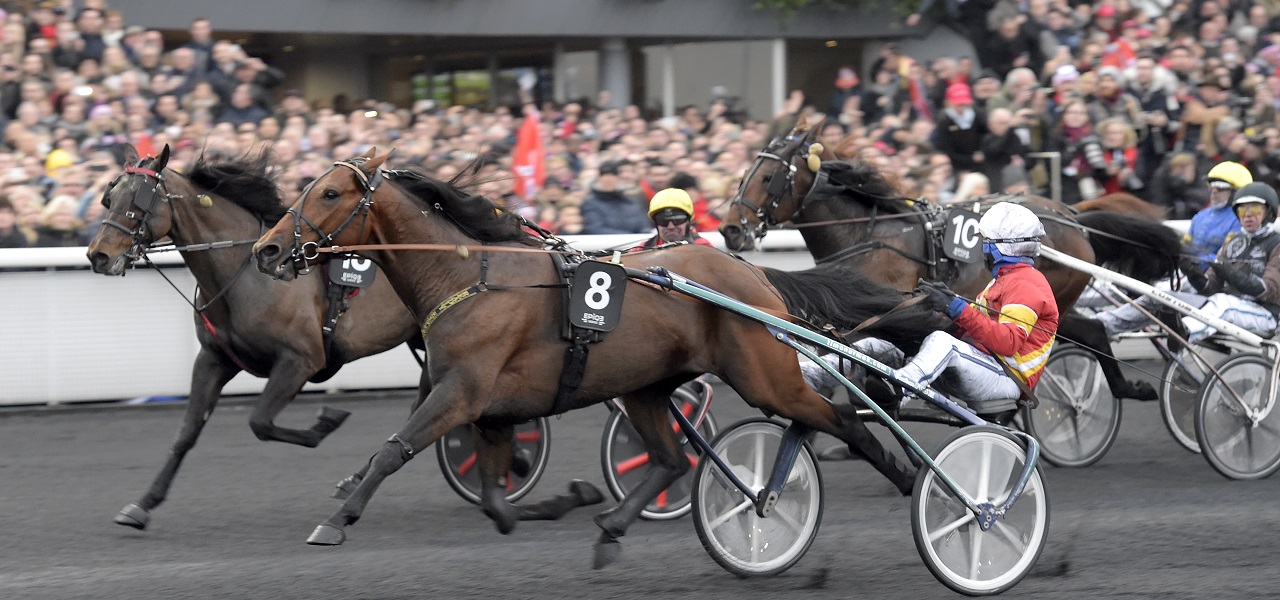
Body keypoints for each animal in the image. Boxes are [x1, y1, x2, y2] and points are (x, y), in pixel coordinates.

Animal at [249, 149, 942, 565]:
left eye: (330, 194)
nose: (267, 249)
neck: (468, 276)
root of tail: (752, 276)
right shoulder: (491, 412)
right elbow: (497, 501)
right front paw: (565, 501)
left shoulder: (460, 393)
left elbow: (393, 451)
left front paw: (336, 519)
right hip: (647, 387)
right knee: (670, 459)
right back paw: (612, 529)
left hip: (764, 376)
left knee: (844, 420)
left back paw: (914, 480)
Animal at [727, 122, 1182, 401]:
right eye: (745, 173)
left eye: (768, 177)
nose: (732, 229)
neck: (869, 235)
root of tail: (1071, 216)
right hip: (1062, 306)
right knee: (1093, 332)